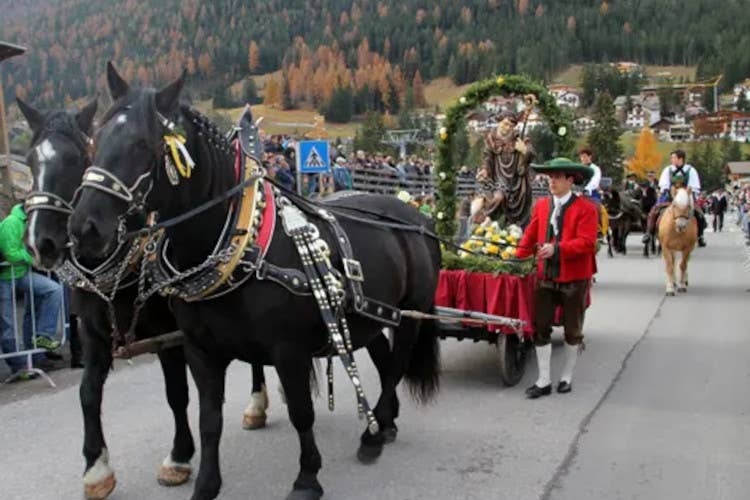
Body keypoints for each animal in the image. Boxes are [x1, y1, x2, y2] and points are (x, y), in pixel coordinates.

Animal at [16, 97, 268, 500]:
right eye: (31, 160)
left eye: (77, 159)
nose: (41, 242)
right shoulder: (92, 334)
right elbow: (88, 393)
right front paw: (96, 470)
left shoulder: (169, 335)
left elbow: (176, 393)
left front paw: (179, 457)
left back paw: (257, 405)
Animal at [68, 63, 444, 500]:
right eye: (95, 141)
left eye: (143, 144)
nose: (85, 228)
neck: (241, 243)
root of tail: (415, 215)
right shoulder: (200, 350)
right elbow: (209, 420)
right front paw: (205, 485)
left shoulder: (289, 350)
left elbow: (301, 412)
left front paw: (307, 478)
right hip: (369, 314)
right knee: (382, 357)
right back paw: (384, 424)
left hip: (411, 312)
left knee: (397, 362)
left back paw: (373, 433)